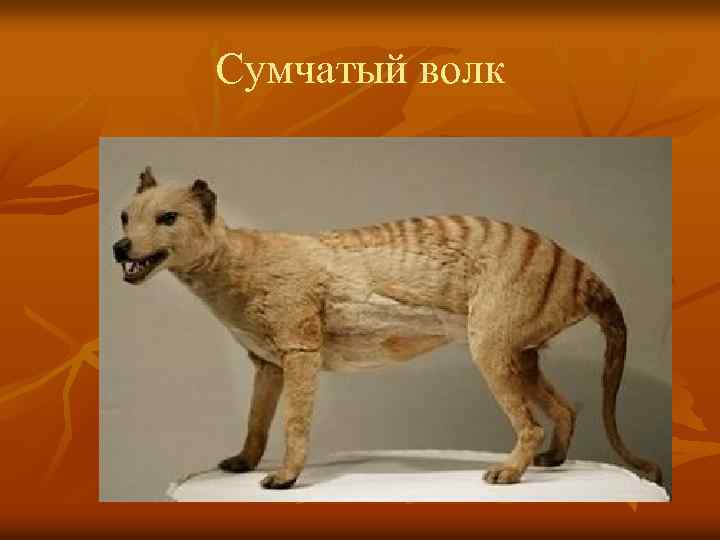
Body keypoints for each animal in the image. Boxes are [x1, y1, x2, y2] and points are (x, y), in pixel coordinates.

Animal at [112, 167, 662, 489]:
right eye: (123, 216)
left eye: (167, 217)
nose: (120, 248)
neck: (236, 262)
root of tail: (581, 270)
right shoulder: (267, 363)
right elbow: (255, 421)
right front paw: (243, 462)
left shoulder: (299, 350)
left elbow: (293, 425)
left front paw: (285, 477)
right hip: (520, 351)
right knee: (565, 407)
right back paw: (555, 459)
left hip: (491, 347)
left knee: (529, 422)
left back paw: (511, 470)